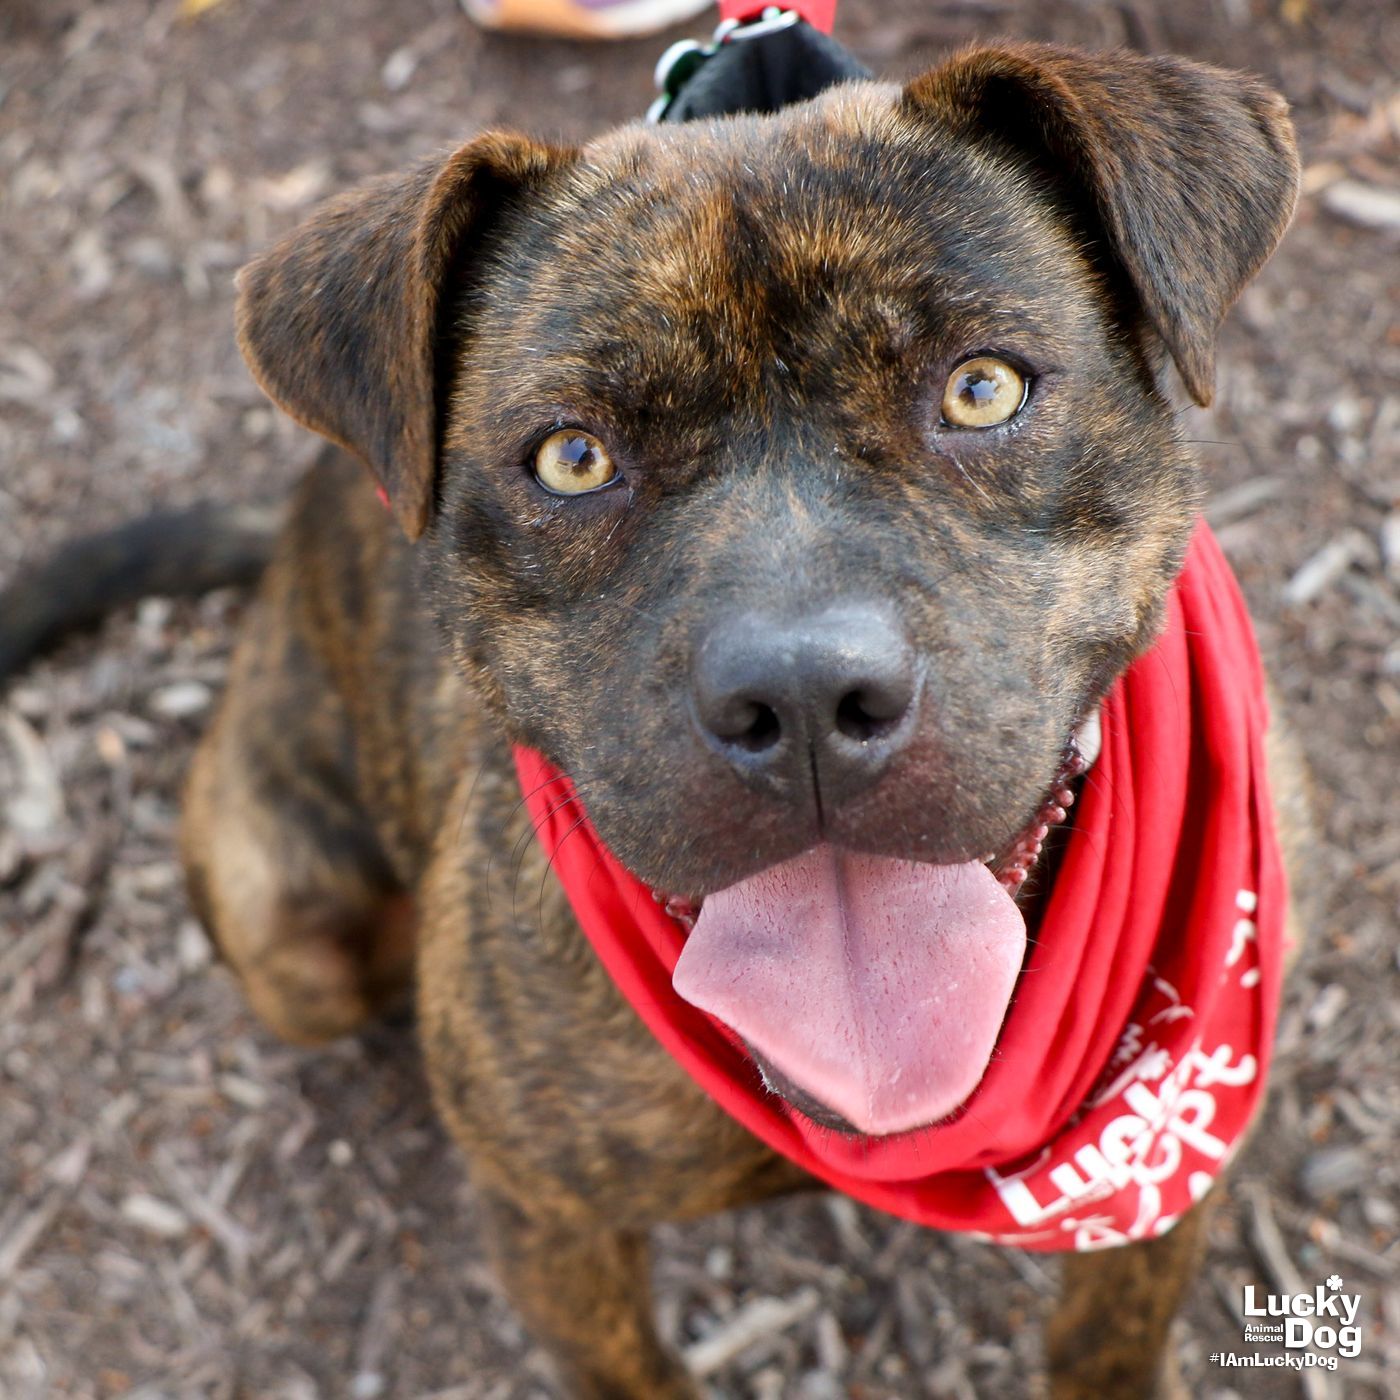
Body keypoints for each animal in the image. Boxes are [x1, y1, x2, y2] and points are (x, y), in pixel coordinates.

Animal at [5, 38, 1304, 1400]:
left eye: (980, 389)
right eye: (571, 457)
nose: (802, 694)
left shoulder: (1164, 1170)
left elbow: (1108, 1338)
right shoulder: (551, 1223)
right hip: (286, 929)